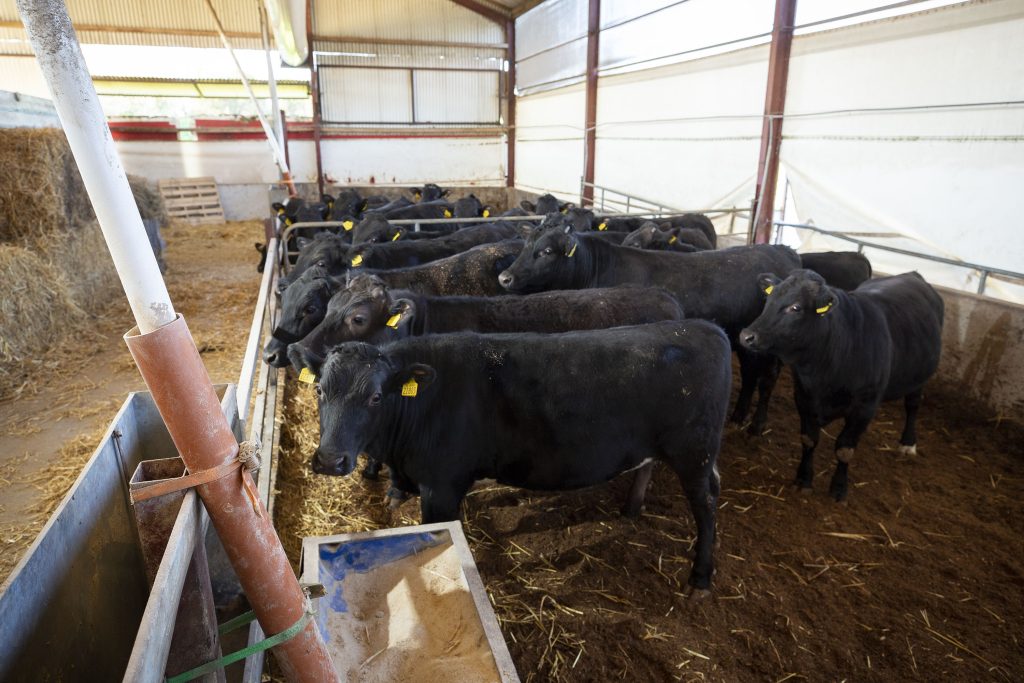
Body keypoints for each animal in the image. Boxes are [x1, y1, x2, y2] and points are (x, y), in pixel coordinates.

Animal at [309, 321, 729, 593]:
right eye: (320, 391)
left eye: (375, 397)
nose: (330, 460)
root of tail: (701, 328)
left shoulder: (442, 487)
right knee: (649, 465)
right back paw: (631, 508)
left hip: (695, 452)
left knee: (707, 502)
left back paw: (701, 578)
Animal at [499, 216, 802, 436]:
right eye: (524, 245)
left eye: (546, 251)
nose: (504, 277)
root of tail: (781, 249)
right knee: (750, 376)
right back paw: (738, 415)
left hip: (766, 345)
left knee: (766, 379)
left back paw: (756, 425)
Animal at [737, 270, 942, 501]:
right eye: (769, 300)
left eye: (796, 307)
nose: (747, 335)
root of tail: (913, 275)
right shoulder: (804, 398)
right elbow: (809, 440)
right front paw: (803, 479)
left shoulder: (864, 407)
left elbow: (845, 449)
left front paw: (838, 488)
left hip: (919, 378)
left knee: (913, 405)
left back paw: (908, 443)